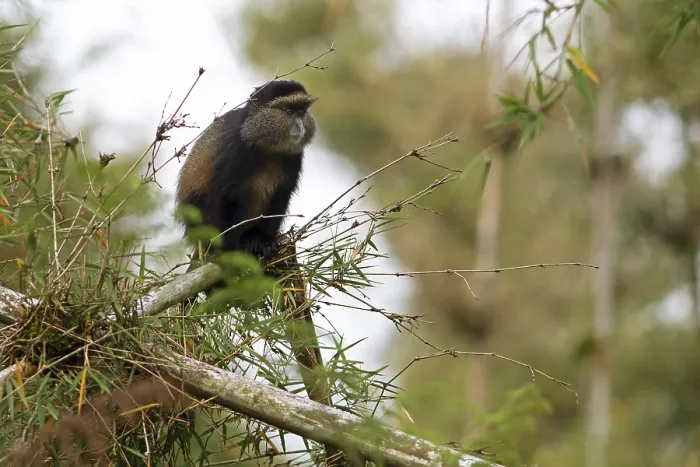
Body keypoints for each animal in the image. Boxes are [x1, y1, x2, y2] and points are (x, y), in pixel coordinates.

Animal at [175, 79, 318, 266]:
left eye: (301, 112)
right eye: (288, 111)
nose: (300, 125)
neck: (269, 147)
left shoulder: (294, 157)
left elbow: (281, 194)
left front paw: (265, 240)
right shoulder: (237, 147)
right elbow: (227, 193)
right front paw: (229, 249)